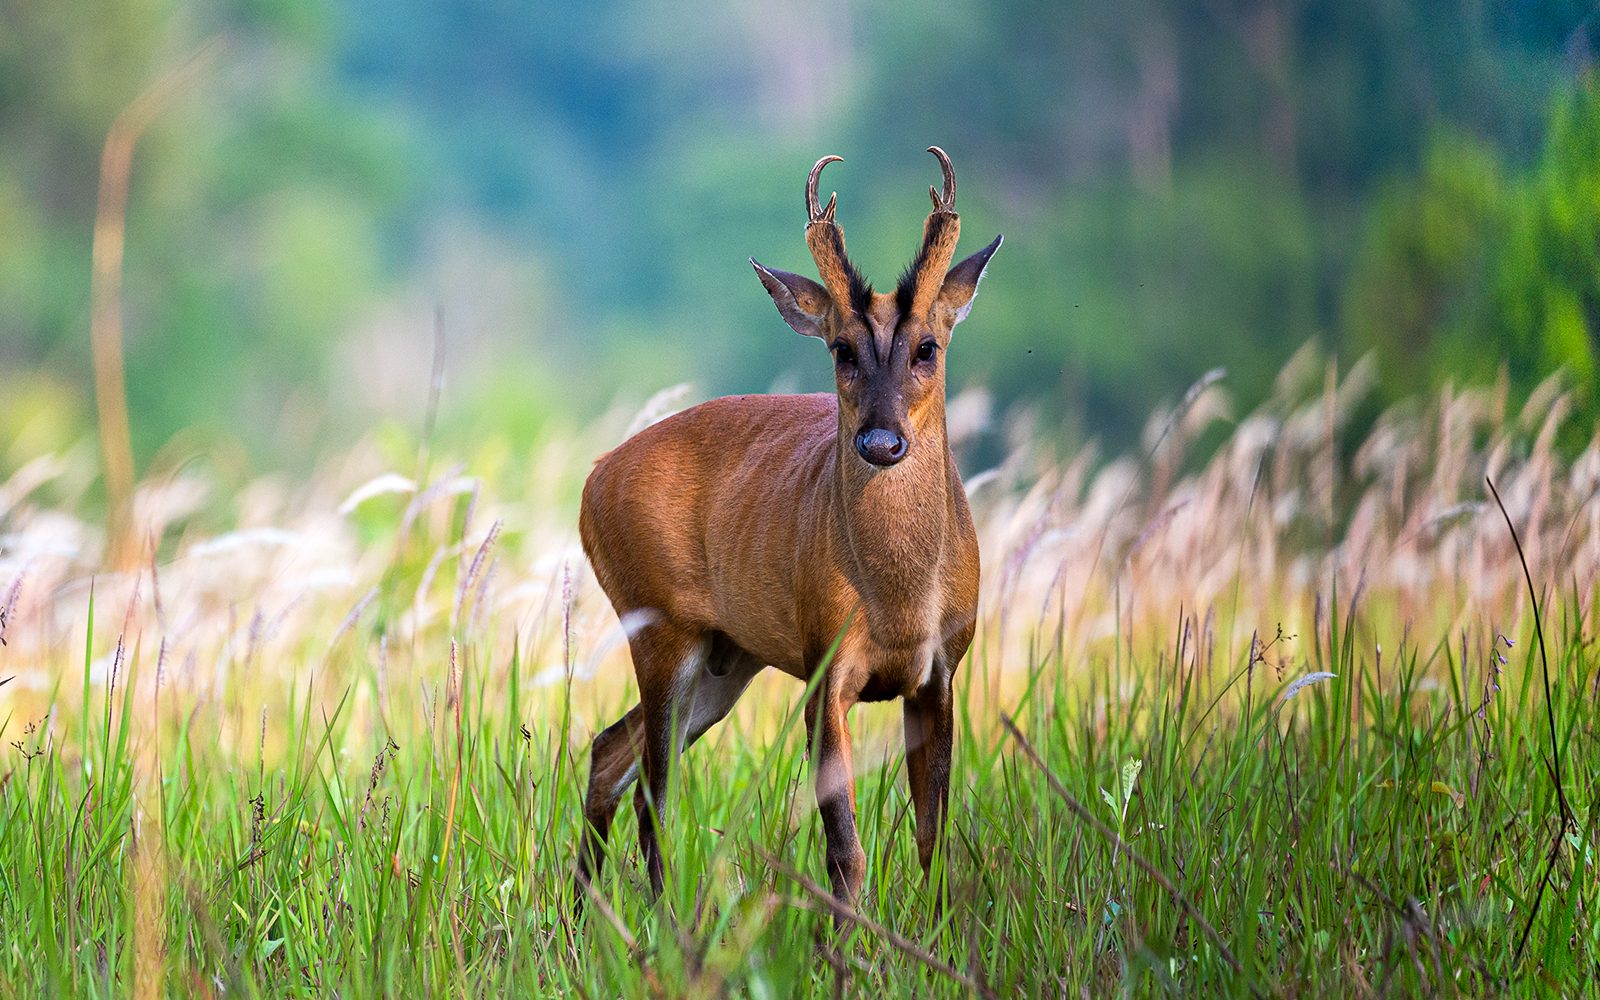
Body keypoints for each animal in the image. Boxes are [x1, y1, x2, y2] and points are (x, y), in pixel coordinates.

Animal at [574, 147, 1001, 912]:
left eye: (927, 346)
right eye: (840, 350)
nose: (881, 442)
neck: (897, 600)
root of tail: (592, 480)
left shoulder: (942, 672)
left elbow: (932, 838)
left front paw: (931, 932)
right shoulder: (826, 667)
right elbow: (845, 849)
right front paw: (849, 938)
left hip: (727, 656)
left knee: (609, 752)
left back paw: (582, 917)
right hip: (659, 628)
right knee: (654, 798)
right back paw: (658, 920)